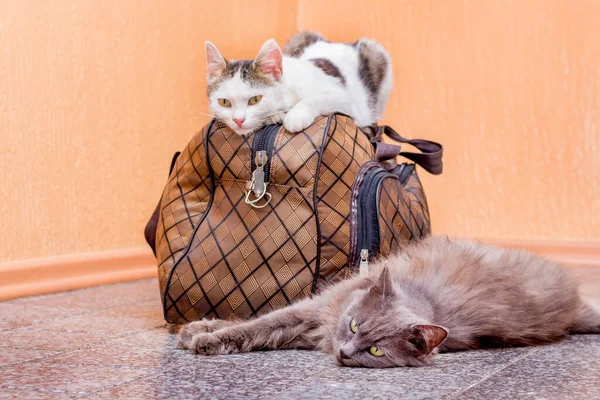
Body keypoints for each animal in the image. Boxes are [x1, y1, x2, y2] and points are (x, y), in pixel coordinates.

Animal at [178, 236, 600, 368]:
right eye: (353, 326)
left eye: (376, 350)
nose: (345, 352)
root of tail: (572, 307)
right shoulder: (314, 312)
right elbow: (256, 322)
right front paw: (199, 329)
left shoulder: (310, 324)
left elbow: (256, 329)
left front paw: (204, 338)